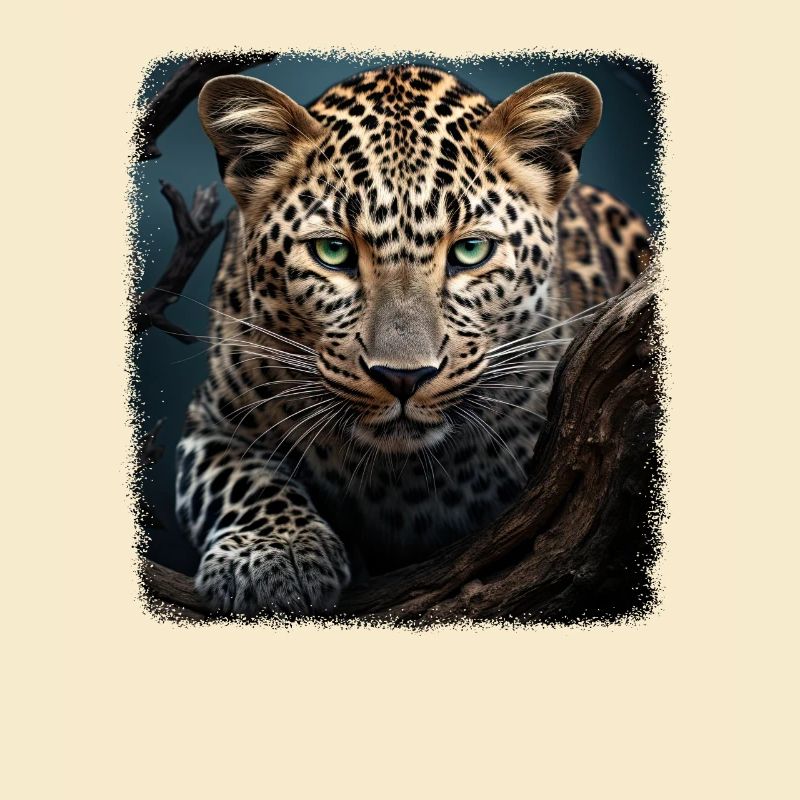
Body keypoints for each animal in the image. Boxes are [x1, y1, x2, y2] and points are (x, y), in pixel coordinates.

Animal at [174, 64, 650, 615]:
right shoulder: (211, 422)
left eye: (470, 250)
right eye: (333, 252)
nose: (403, 378)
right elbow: (242, 481)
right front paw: (273, 554)